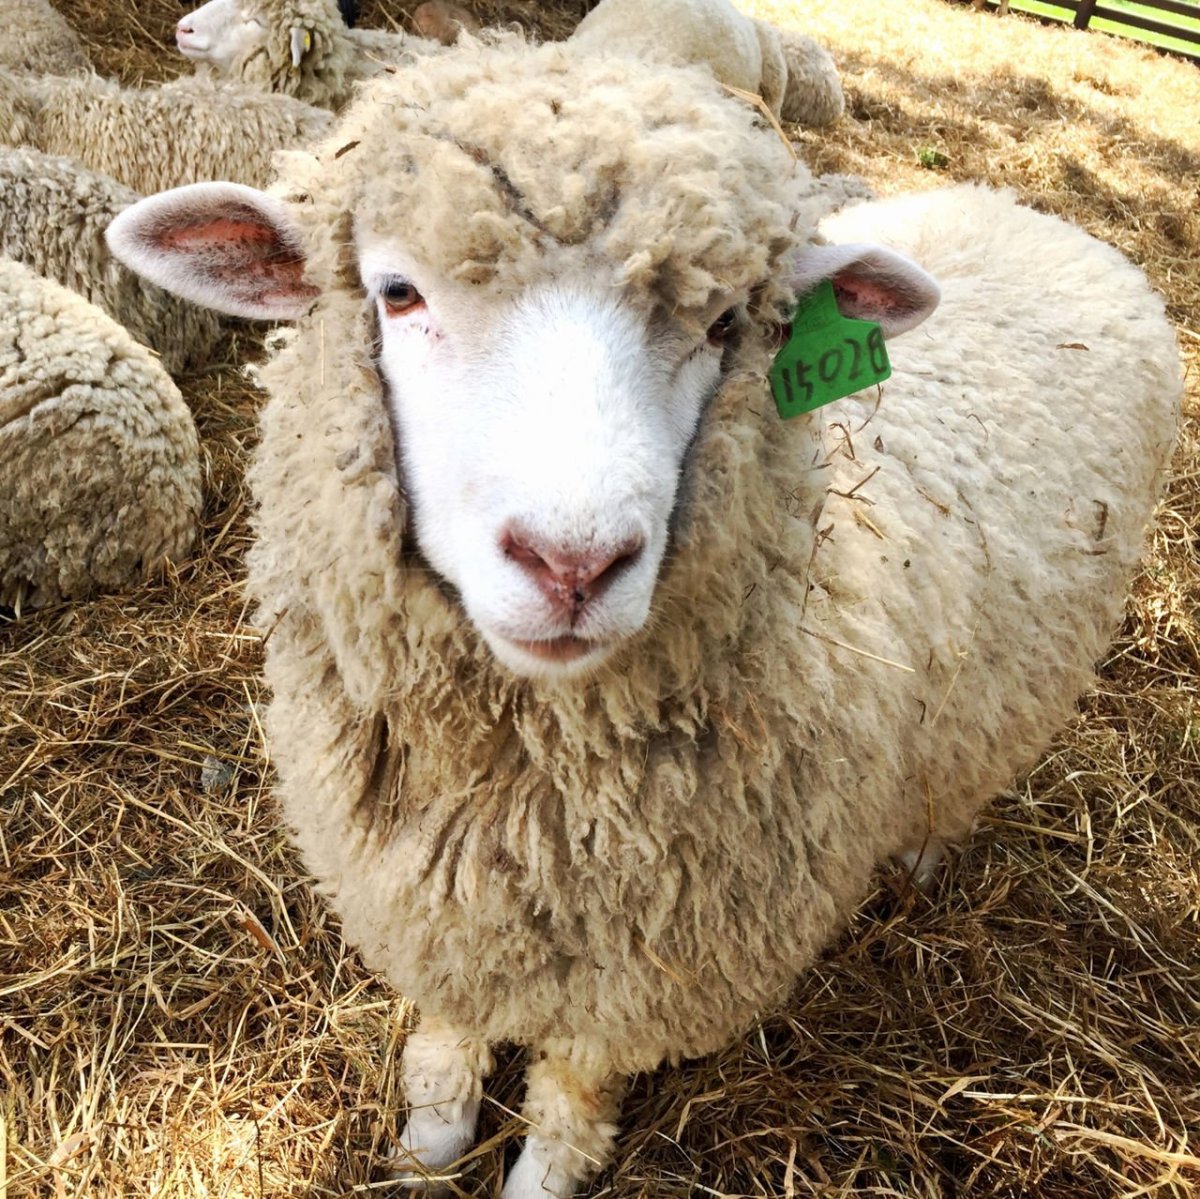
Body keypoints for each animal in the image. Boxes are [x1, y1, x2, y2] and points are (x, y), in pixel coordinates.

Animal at [108, 37, 1185, 1199]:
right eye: (396, 293)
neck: (528, 787)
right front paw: (428, 1144)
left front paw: (539, 1170)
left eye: (724, 326)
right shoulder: (426, 895)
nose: (572, 561)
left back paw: (921, 857)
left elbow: (573, 1091)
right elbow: (445, 1041)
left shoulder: (648, 961)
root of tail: (1040, 214)